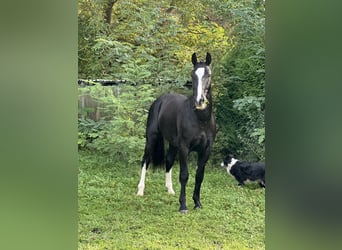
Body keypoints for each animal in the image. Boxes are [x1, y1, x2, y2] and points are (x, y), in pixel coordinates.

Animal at [137, 52, 215, 213]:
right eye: (192, 75)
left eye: (208, 74)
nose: (199, 101)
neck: (200, 120)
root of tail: (160, 100)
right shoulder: (184, 148)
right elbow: (184, 175)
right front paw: (183, 206)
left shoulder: (206, 150)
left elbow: (199, 176)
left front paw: (197, 203)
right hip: (151, 138)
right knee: (145, 160)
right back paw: (140, 190)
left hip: (173, 144)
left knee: (168, 160)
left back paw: (170, 190)